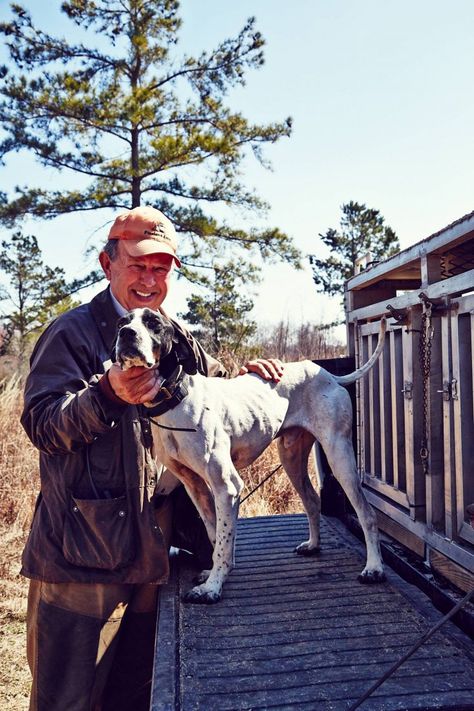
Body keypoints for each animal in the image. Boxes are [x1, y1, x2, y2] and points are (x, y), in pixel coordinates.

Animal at [114, 308, 386, 604]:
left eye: (153, 322)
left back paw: (374, 568)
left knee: (367, 513)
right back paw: (313, 545)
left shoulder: (228, 486)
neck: (175, 399)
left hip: (339, 455)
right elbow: (215, 535)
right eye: (121, 322)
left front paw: (212, 587)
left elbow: (223, 541)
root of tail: (328, 374)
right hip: (291, 459)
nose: (126, 333)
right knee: (313, 501)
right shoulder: (196, 486)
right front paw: (215, 574)